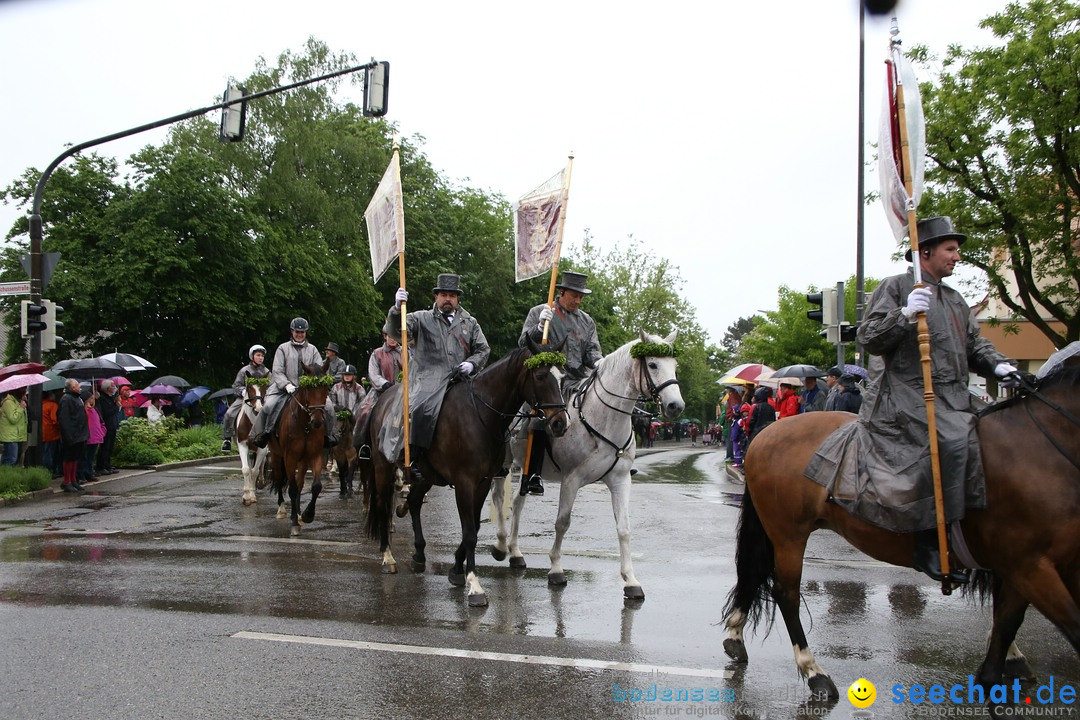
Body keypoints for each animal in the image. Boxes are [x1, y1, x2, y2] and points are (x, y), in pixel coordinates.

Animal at [268, 369, 330, 537]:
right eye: (308, 389)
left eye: (326, 389)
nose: (317, 421)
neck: (304, 426)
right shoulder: (290, 458)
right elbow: (292, 488)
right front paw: (295, 523)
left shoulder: (315, 456)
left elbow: (316, 486)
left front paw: (307, 515)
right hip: (277, 456)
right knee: (279, 479)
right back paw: (282, 510)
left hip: (302, 460)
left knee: (300, 482)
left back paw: (298, 512)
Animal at [362, 338, 570, 608]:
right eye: (542, 376)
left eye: (563, 377)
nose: (560, 423)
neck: (482, 414)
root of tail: (383, 400)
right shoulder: (464, 482)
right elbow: (470, 533)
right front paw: (474, 585)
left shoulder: (482, 482)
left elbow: (475, 527)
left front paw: (457, 570)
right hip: (382, 466)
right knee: (381, 505)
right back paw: (388, 557)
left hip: (426, 475)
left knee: (415, 502)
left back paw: (419, 553)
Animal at [490, 330, 682, 600]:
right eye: (653, 364)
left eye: (674, 365)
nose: (676, 406)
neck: (602, 419)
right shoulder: (572, 480)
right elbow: (562, 523)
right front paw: (556, 569)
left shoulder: (620, 481)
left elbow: (624, 529)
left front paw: (631, 580)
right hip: (503, 463)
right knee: (498, 498)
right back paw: (500, 545)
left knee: (517, 502)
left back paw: (516, 553)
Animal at [721, 358, 1080, 699]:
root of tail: (764, 436)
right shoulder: (1028, 566)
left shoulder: (1030, 566)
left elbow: (1008, 618)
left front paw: (1008, 661)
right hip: (789, 534)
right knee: (786, 593)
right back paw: (814, 672)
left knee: (756, 576)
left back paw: (737, 638)